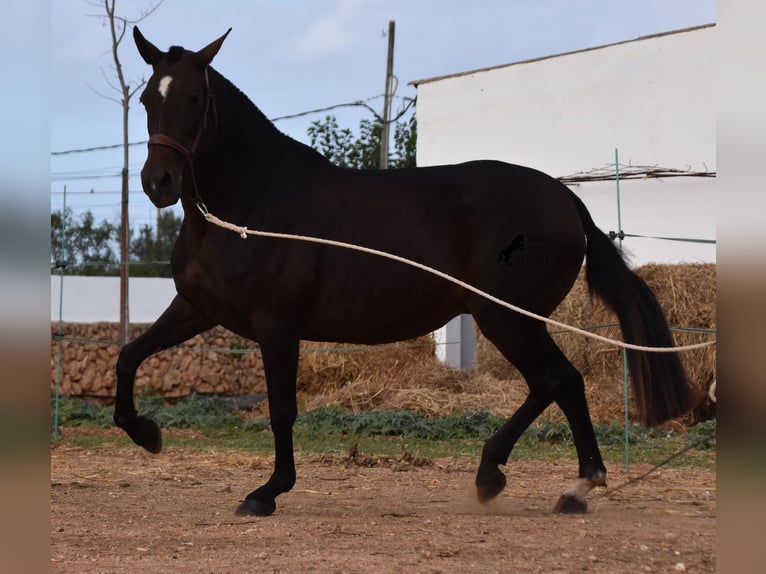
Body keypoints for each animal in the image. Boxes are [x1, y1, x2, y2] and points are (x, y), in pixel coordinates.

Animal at [118, 27, 696, 520]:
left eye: (195, 98)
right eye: (148, 99)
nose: (158, 182)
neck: (248, 205)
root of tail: (564, 199)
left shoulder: (275, 325)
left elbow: (282, 409)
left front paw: (267, 492)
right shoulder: (198, 309)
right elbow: (129, 356)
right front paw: (146, 433)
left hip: (508, 318)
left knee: (561, 380)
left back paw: (566, 485)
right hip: (512, 320)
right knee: (551, 384)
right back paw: (507, 477)